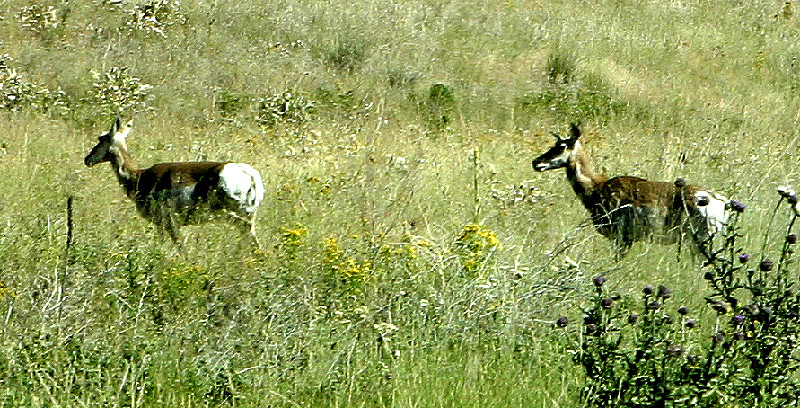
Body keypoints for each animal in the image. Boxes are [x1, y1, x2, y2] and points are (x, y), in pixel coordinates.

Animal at [86, 116, 264, 247]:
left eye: (101, 139)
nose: (87, 159)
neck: (139, 177)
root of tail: (249, 173)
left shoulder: (167, 222)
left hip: (240, 218)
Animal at [532, 122, 732, 256]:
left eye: (561, 146)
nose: (536, 162)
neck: (597, 187)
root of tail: (721, 200)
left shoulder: (621, 240)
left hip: (700, 242)